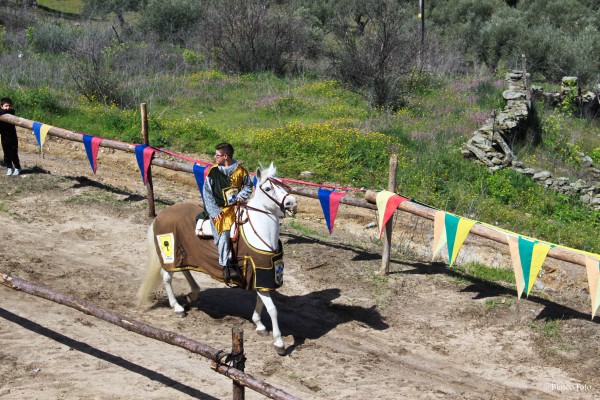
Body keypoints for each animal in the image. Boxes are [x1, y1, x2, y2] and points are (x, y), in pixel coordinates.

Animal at [136, 164, 296, 354]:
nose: (292, 202)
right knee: (167, 277)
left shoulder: (262, 275)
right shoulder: (260, 273)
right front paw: (279, 343)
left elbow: (261, 301)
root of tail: (161, 215)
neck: (259, 232)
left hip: (185, 254)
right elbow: (272, 309)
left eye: (281, 183)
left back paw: (193, 294)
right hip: (171, 256)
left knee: (185, 270)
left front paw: (259, 325)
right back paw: (177, 307)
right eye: (268, 188)